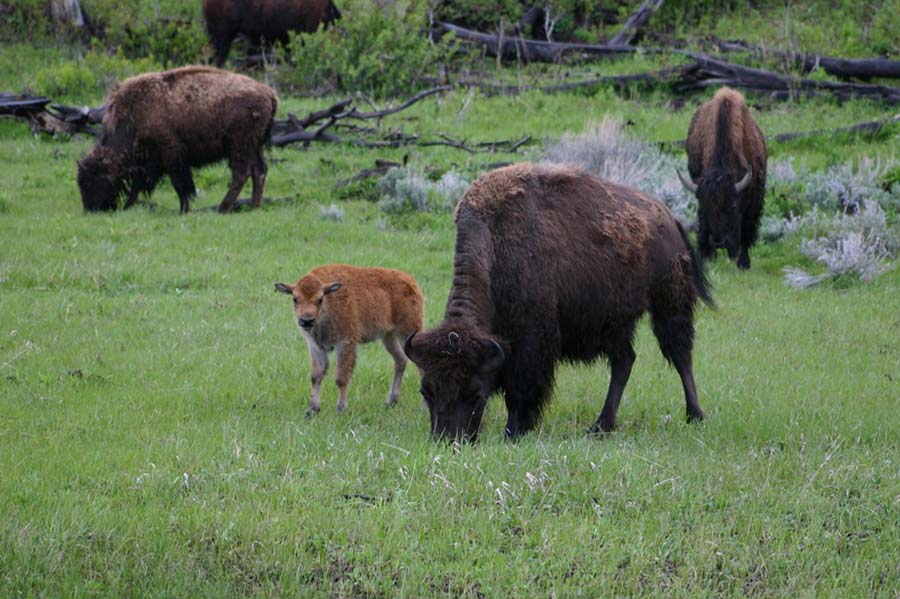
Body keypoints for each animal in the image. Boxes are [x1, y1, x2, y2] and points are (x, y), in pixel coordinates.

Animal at [77, 65, 278, 214]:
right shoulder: (149, 163)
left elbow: (179, 184)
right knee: (259, 171)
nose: (90, 210)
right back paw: (254, 207)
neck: (133, 118)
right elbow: (139, 186)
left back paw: (222, 208)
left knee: (241, 174)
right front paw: (128, 206)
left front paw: (184, 210)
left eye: (92, 180)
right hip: (254, 146)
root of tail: (269, 93)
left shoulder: (171, 154)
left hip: (239, 146)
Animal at [274, 264, 426, 420]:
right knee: (400, 360)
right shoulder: (316, 347)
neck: (330, 303)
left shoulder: (345, 344)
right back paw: (391, 401)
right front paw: (312, 410)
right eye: (295, 298)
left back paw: (423, 406)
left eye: (320, 299)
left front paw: (341, 409)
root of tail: (410, 281)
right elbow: (316, 376)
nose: (306, 320)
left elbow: (341, 378)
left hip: (407, 332)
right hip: (388, 336)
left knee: (420, 364)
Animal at [404, 162, 712, 442]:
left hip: (669, 303)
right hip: (614, 321)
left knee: (681, 354)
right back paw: (601, 426)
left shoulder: (531, 339)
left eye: (474, 393)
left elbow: (521, 389)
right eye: (426, 390)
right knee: (624, 361)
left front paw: (514, 431)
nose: (448, 440)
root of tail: (669, 218)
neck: (494, 243)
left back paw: (694, 415)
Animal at [676, 86, 768, 270]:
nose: (718, 242)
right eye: (703, 208)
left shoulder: (754, 200)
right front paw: (708, 256)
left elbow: (746, 230)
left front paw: (743, 263)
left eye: (732, 206)